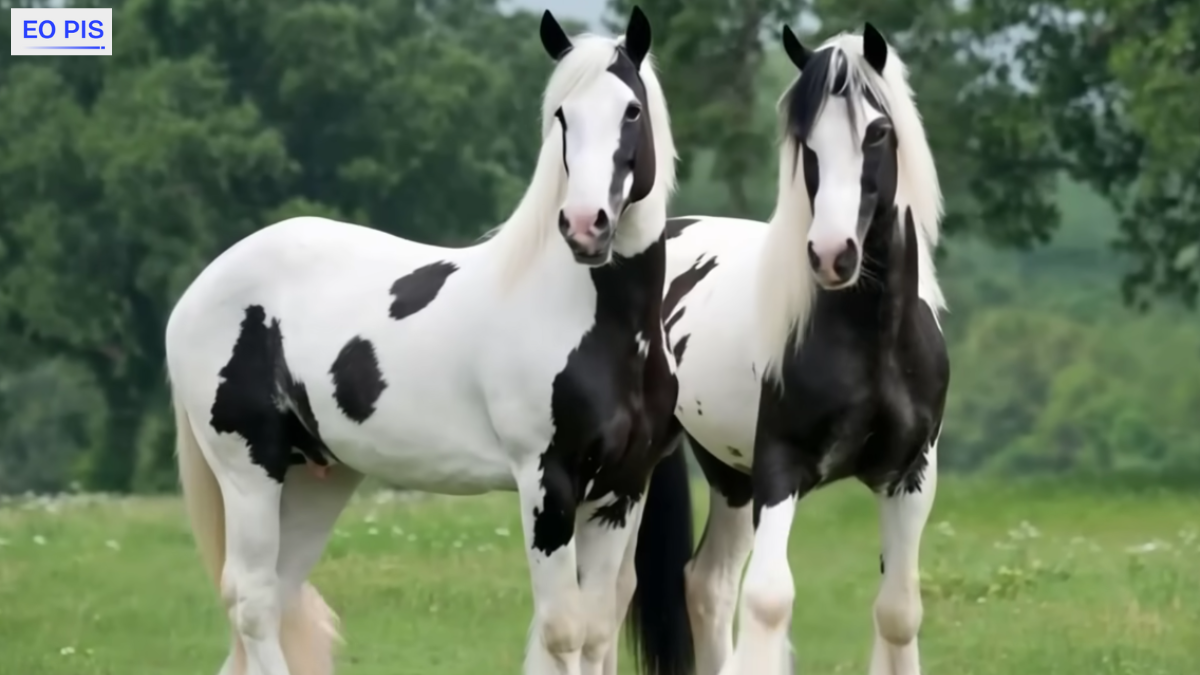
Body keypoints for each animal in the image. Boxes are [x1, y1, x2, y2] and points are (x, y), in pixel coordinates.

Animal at [165, 8, 690, 675]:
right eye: (562, 116)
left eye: (631, 111)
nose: (583, 225)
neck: (601, 328)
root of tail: (199, 289)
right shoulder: (547, 483)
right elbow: (563, 633)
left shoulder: (623, 490)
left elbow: (597, 633)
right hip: (248, 469)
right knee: (253, 601)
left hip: (316, 479)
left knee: (278, 600)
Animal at [634, 23, 950, 675]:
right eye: (807, 142)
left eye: (877, 131)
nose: (832, 254)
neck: (873, 341)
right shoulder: (781, 466)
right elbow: (770, 599)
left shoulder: (911, 476)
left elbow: (898, 610)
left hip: (729, 473)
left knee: (706, 584)